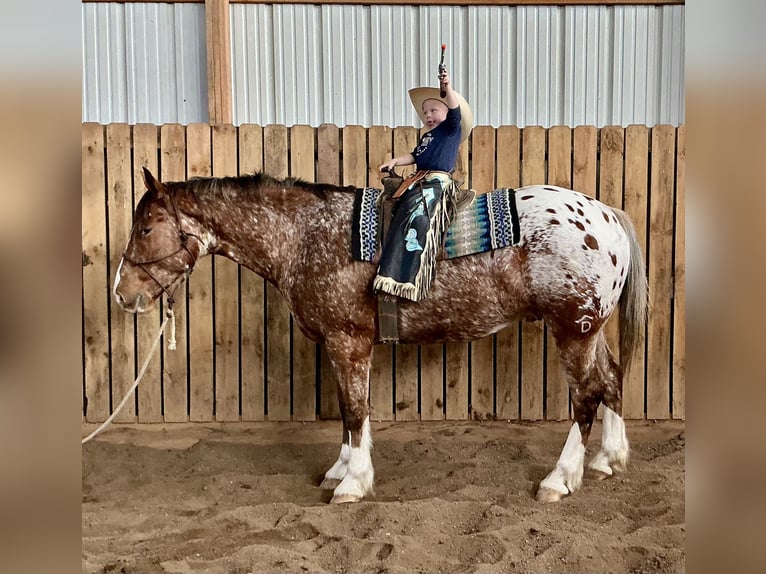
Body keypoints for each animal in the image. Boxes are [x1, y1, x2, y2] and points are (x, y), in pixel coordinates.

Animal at [112, 169, 648, 506]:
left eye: (145, 228)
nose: (121, 293)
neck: (304, 236)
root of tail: (606, 215)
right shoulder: (340, 346)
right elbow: (348, 411)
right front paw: (341, 468)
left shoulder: (348, 341)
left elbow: (354, 410)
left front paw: (352, 483)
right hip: (591, 330)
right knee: (611, 379)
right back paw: (608, 459)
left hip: (572, 330)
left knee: (586, 397)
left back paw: (561, 478)